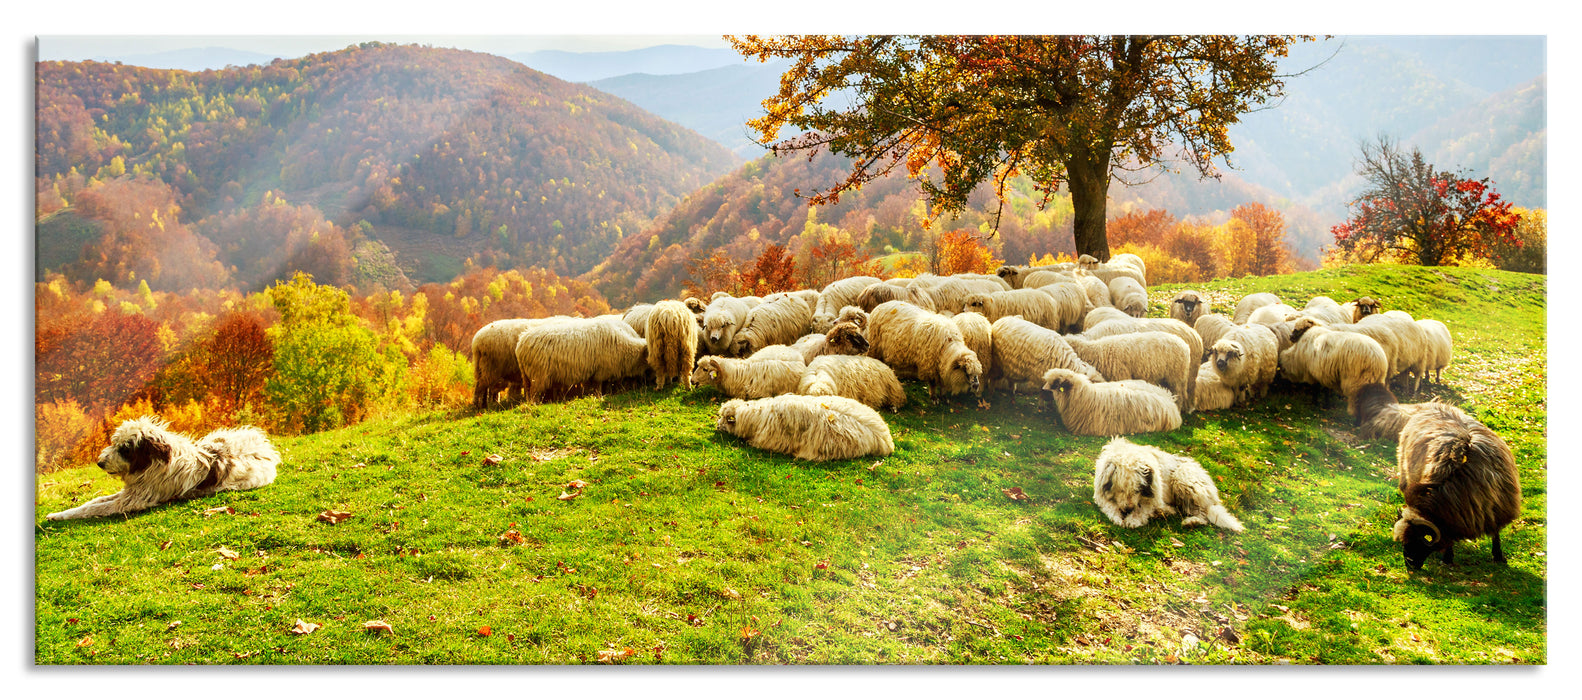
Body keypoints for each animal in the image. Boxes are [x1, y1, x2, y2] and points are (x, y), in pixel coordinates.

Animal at [512, 315, 648, 402]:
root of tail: (521, 342)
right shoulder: (600, 371)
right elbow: (598, 388)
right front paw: (599, 397)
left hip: (527, 375)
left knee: (528, 392)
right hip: (538, 375)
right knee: (534, 393)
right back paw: (535, 405)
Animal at [1094, 437, 1240, 528]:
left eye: (1137, 490)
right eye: (1121, 489)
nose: (1128, 509)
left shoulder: (1152, 496)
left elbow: (1142, 509)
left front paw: (1133, 519)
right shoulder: (1101, 493)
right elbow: (1109, 506)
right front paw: (1117, 517)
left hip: (1184, 479)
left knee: (1201, 513)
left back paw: (1192, 521)